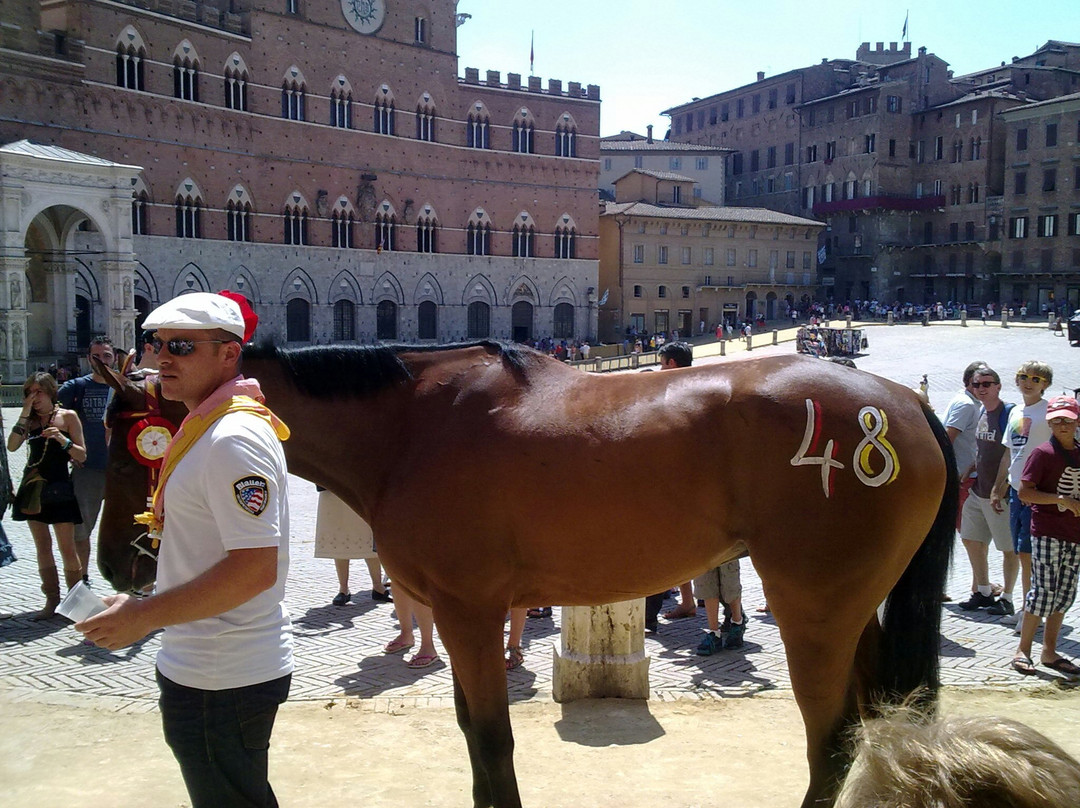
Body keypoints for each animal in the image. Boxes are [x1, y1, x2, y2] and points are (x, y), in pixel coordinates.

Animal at [92, 343, 954, 808]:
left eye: (136, 442)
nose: (111, 563)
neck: (413, 427)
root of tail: (896, 401)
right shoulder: (456, 615)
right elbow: (474, 734)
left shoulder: (469, 612)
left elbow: (492, 737)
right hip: (853, 610)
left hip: (813, 607)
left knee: (833, 735)